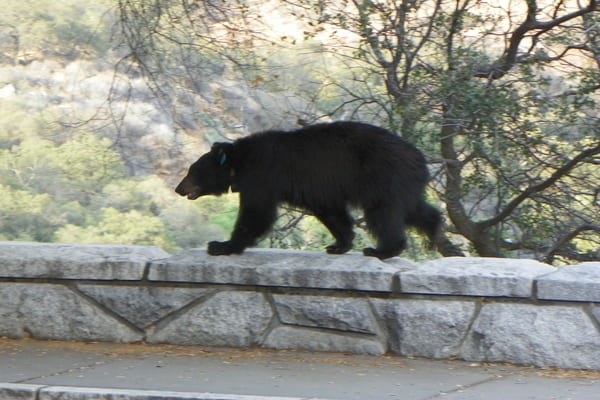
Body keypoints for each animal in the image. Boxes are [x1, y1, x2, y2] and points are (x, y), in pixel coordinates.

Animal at [173, 121, 440, 260]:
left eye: (191, 170)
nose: (178, 188)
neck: (239, 162)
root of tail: (419, 158)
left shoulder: (262, 177)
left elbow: (256, 213)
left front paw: (222, 245)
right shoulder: (318, 188)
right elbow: (330, 211)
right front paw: (339, 244)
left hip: (381, 175)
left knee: (382, 213)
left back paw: (383, 250)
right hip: (402, 182)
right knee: (415, 210)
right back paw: (434, 231)